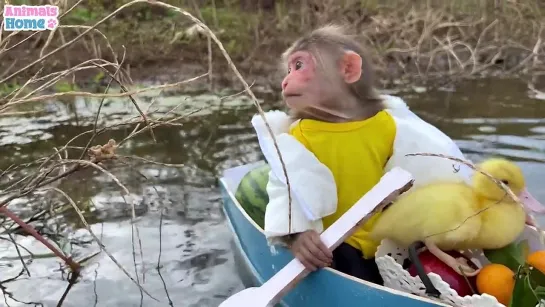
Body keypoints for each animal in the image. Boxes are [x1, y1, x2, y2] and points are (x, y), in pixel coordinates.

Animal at [274, 24, 394, 286]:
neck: (340, 119)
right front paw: (301, 240)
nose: (285, 81)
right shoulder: (296, 133)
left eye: (298, 66)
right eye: (289, 68)